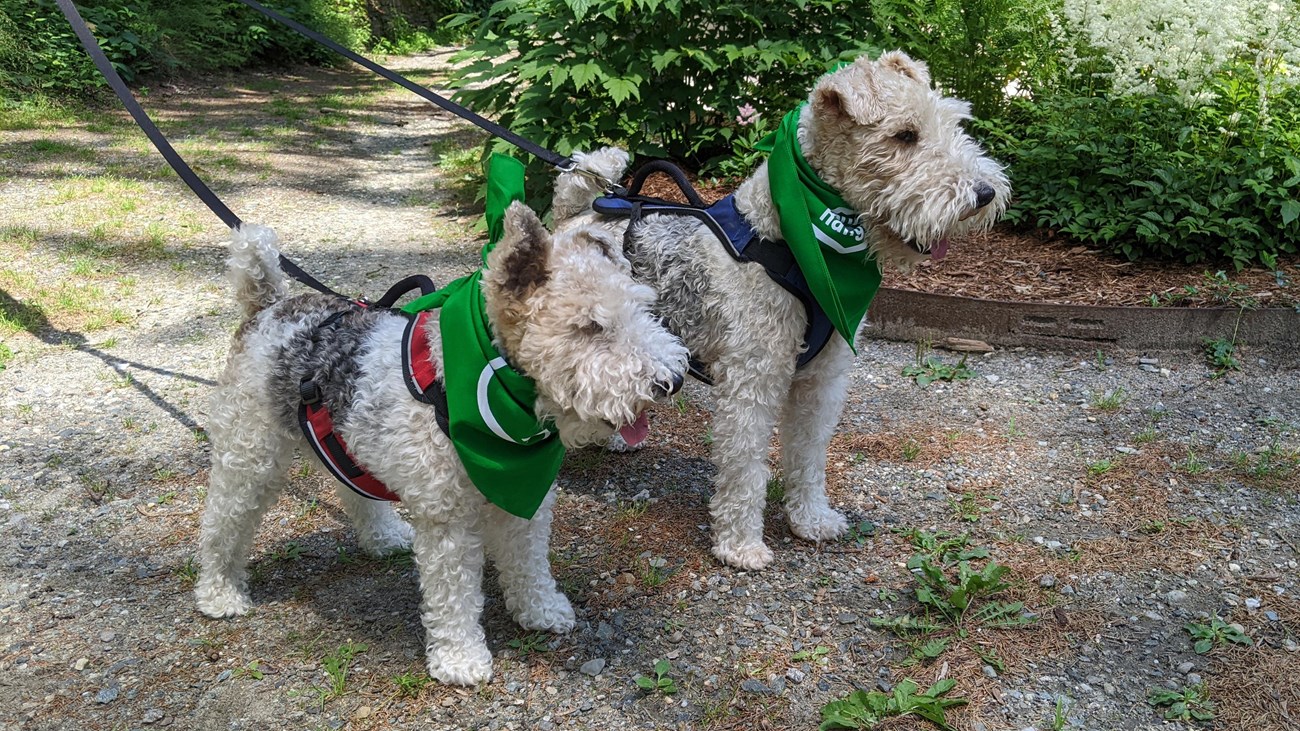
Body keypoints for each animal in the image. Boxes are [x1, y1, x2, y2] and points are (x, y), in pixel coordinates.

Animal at [193, 201, 691, 681]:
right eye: (589, 325)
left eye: (641, 309)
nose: (672, 381)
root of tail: (268, 305)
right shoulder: (448, 520)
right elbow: (454, 597)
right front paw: (460, 659)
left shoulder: (526, 505)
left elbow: (529, 566)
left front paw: (541, 610)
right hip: (250, 456)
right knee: (221, 524)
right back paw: (220, 593)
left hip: (341, 443)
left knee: (351, 489)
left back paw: (383, 536)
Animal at [553, 51, 1008, 569]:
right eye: (904, 135)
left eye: (950, 122)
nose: (984, 194)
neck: (795, 244)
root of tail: (576, 214)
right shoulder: (753, 381)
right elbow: (745, 468)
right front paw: (741, 546)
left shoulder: (822, 379)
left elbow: (808, 455)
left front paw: (811, 521)